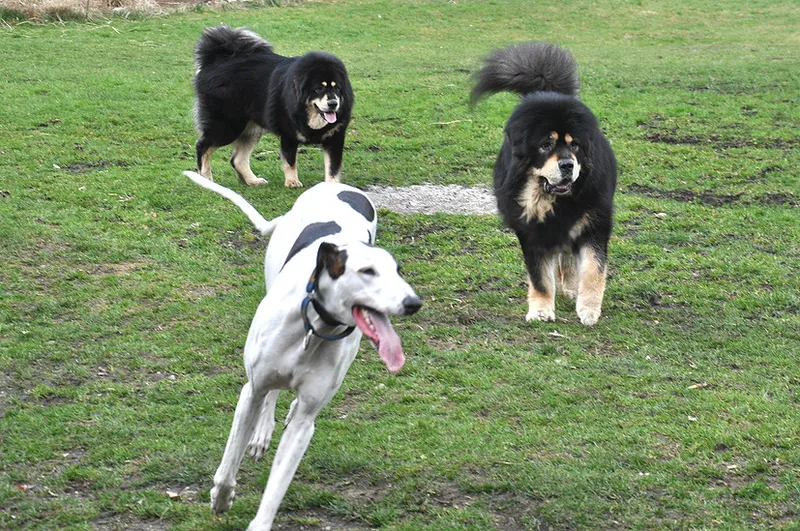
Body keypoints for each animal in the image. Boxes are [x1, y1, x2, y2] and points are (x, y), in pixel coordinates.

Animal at [183, 171, 421, 530]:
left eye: (398, 271)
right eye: (367, 271)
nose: (413, 303)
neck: (315, 329)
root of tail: (336, 185)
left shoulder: (304, 427)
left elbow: (278, 483)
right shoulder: (250, 391)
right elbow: (229, 462)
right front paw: (221, 497)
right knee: (269, 395)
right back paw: (262, 431)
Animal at [192, 25, 354, 188]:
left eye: (337, 88)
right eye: (319, 88)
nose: (333, 103)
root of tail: (216, 60)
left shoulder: (334, 138)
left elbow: (333, 169)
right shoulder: (288, 135)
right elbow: (290, 162)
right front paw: (292, 182)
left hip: (250, 128)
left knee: (237, 160)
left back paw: (253, 181)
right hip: (228, 127)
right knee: (202, 146)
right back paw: (206, 179)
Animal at [472, 42, 617, 326]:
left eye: (575, 145)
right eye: (546, 144)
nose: (568, 165)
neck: (557, 199)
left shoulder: (595, 224)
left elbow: (593, 270)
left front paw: (589, 309)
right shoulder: (532, 232)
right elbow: (539, 277)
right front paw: (541, 310)